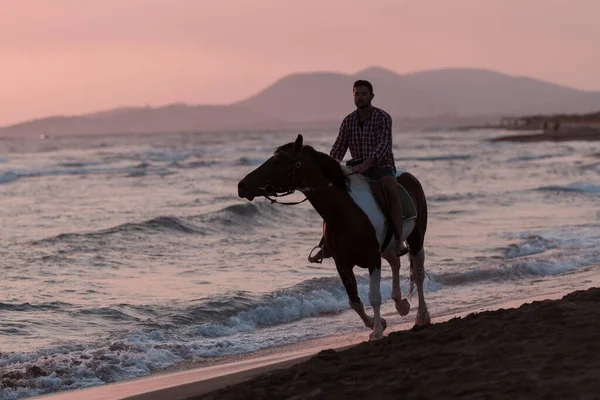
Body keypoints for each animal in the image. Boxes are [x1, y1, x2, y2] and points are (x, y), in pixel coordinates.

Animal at [237, 135, 428, 340]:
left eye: (277, 161)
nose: (241, 185)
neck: (345, 211)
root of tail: (410, 177)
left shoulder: (372, 258)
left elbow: (374, 297)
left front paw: (376, 331)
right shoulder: (342, 263)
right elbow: (354, 301)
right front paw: (378, 324)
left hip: (416, 239)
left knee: (418, 275)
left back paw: (422, 317)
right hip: (387, 248)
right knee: (395, 262)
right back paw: (401, 305)